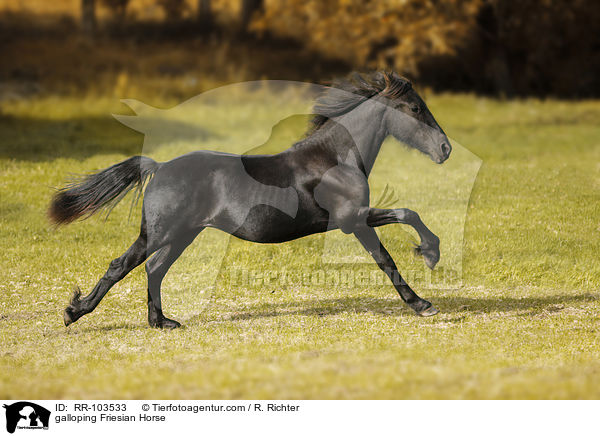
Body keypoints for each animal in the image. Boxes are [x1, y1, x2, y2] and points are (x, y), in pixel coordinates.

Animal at [49, 71, 450, 328]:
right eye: (415, 109)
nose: (445, 149)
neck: (335, 159)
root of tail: (159, 166)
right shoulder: (353, 219)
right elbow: (396, 239)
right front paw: (425, 284)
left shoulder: (352, 221)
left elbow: (396, 236)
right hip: (160, 233)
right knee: (122, 265)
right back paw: (74, 312)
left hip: (183, 234)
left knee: (154, 269)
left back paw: (161, 322)